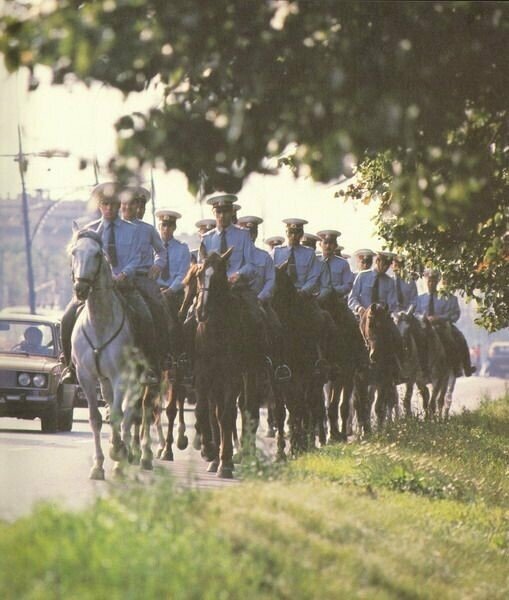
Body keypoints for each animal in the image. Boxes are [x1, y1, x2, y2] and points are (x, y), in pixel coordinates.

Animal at [69, 229, 155, 478]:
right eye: (74, 252)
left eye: (98, 254)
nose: (80, 289)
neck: (100, 323)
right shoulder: (86, 377)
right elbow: (95, 419)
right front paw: (98, 466)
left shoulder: (120, 377)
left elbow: (119, 415)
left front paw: (117, 452)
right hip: (106, 381)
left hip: (141, 379)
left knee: (135, 412)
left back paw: (136, 456)